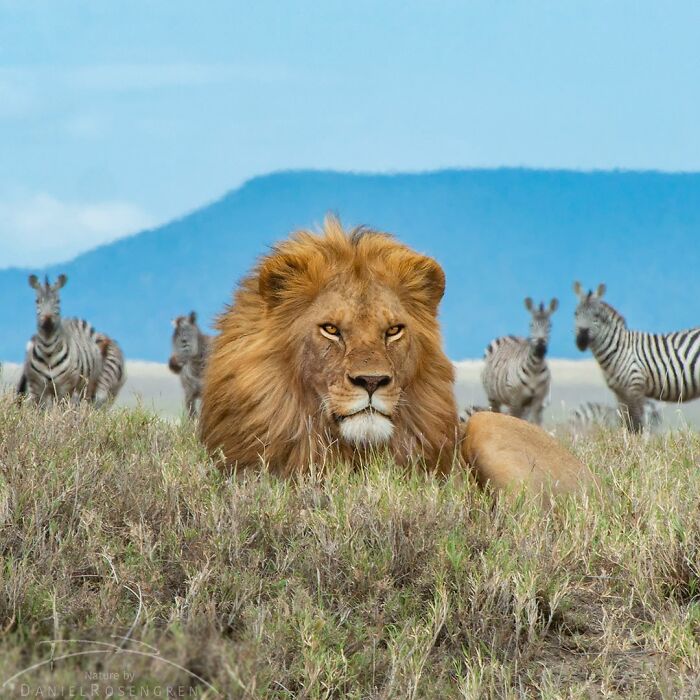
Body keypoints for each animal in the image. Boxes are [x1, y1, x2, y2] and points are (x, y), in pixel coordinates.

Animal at [23, 274, 103, 406]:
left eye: (58, 301)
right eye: (37, 301)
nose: (47, 320)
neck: (48, 350)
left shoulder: (64, 387)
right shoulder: (37, 388)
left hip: (87, 384)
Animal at [481, 297, 558, 425]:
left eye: (550, 325)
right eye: (531, 325)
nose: (540, 347)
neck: (535, 368)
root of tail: (508, 336)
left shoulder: (538, 400)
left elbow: (535, 423)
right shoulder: (515, 398)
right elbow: (515, 419)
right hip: (493, 396)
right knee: (495, 412)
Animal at [574, 281, 700, 431]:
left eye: (596, 317)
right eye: (575, 314)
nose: (581, 340)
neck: (619, 350)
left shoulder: (636, 386)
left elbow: (638, 423)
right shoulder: (620, 393)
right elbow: (626, 422)